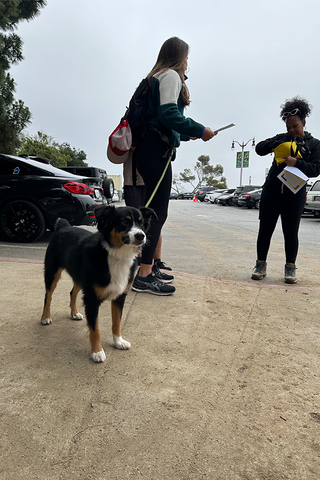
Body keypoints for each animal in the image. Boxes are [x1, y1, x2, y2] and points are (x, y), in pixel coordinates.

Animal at [40, 204, 156, 362]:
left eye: (142, 223)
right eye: (124, 222)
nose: (140, 235)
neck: (116, 256)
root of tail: (63, 227)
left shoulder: (119, 297)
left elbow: (117, 322)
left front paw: (118, 342)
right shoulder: (92, 299)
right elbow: (95, 329)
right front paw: (97, 352)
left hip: (79, 277)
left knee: (72, 293)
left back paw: (74, 313)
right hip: (52, 273)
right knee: (48, 295)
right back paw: (45, 317)